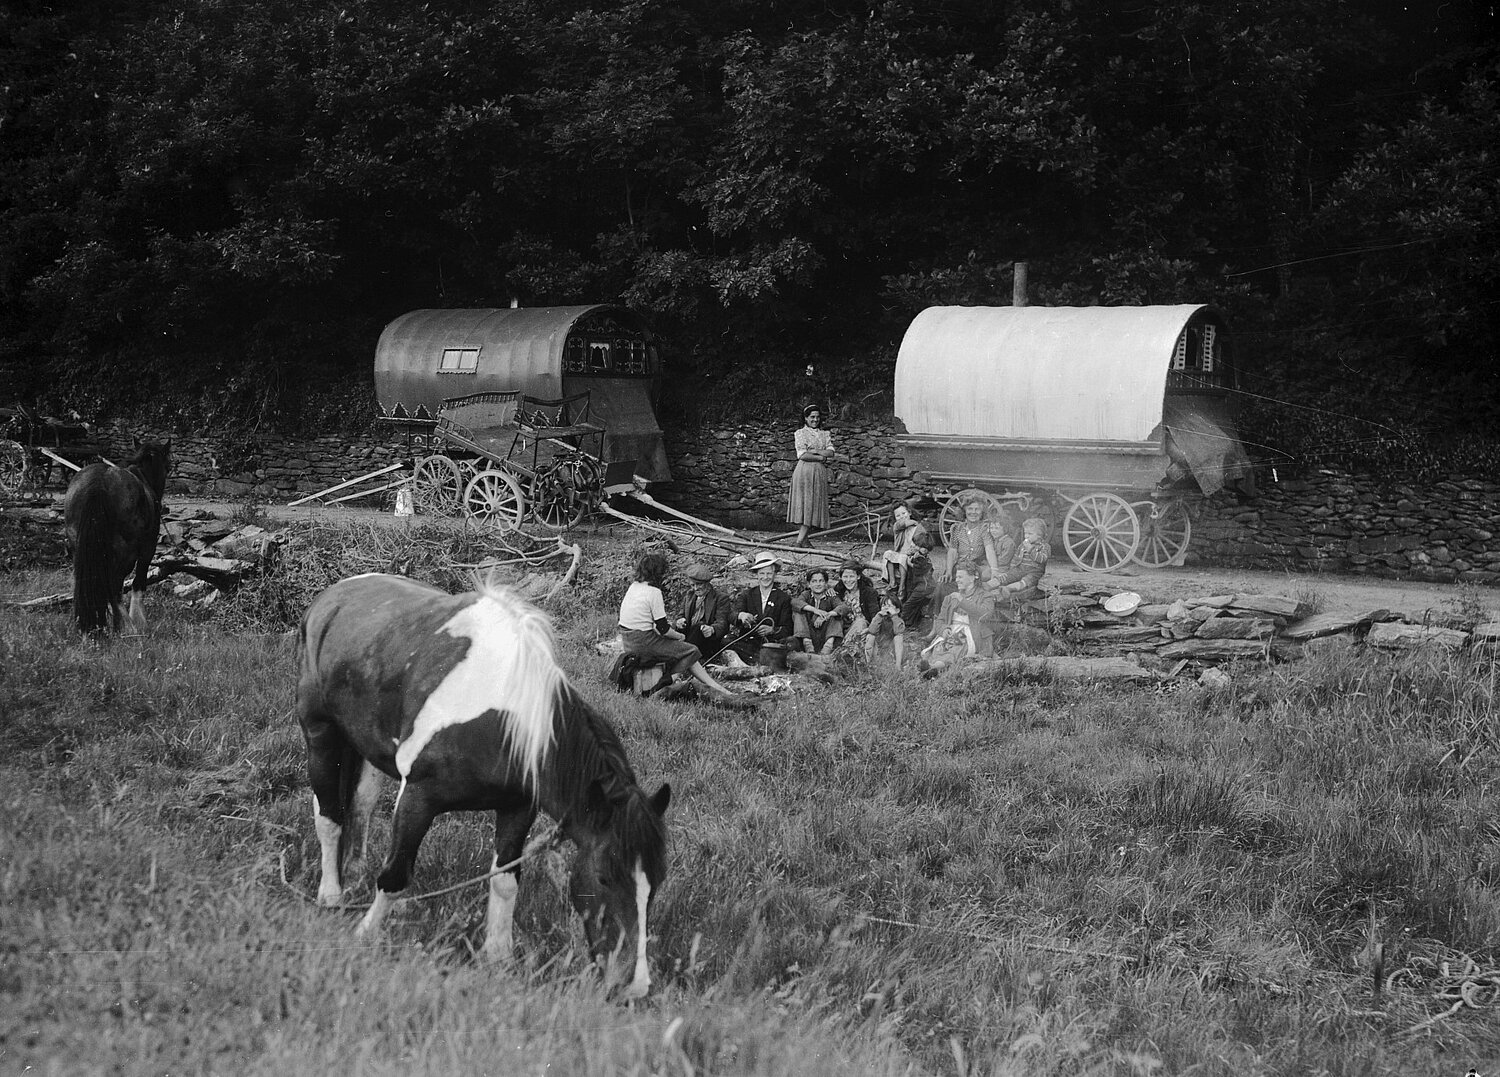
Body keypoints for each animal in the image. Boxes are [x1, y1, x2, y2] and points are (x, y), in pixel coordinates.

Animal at [295, 579, 672, 1002]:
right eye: (605, 877)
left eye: (656, 883)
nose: (634, 985)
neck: (505, 718)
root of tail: (331, 597)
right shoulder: (417, 798)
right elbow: (395, 875)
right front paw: (365, 934)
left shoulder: (518, 808)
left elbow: (506, 882)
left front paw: (498, 958)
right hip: (321, 733)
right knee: (329, 816)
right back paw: (331, 894)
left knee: (360, 803)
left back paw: (356, 872)